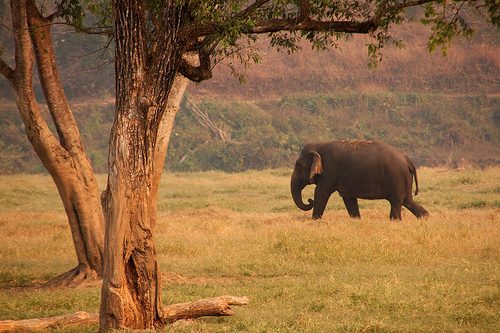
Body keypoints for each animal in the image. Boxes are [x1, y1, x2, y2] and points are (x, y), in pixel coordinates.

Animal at [292, 139, 430, 219]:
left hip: (396, 178)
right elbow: (349, 199)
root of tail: (408, 160)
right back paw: (424, 216)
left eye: (298, 167)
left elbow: (321, 192)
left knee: (396, 202)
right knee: (407, 200)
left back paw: (395, 220)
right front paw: (356, 219)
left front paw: (315, 219)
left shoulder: (329, 172)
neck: (319, 145)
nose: (309, 200)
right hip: (404, 179)